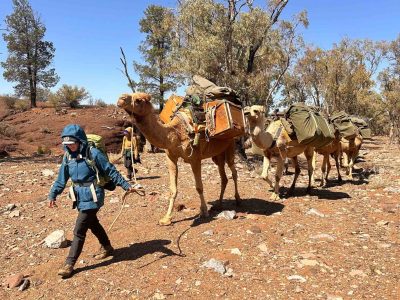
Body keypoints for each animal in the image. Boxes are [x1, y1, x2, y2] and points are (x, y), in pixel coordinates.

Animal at [116, 93, 241, 225]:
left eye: (139, 100)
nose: (121, 99)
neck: (175, 132)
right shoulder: (171, 157)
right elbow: (173, 189)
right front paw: (166, 218)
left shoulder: (195, 159)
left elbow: (199, 187)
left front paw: (204, 211)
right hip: (217, 155)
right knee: (224, 177)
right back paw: (219, 204)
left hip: (231, 145)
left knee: (234, 171)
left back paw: (238, 199)